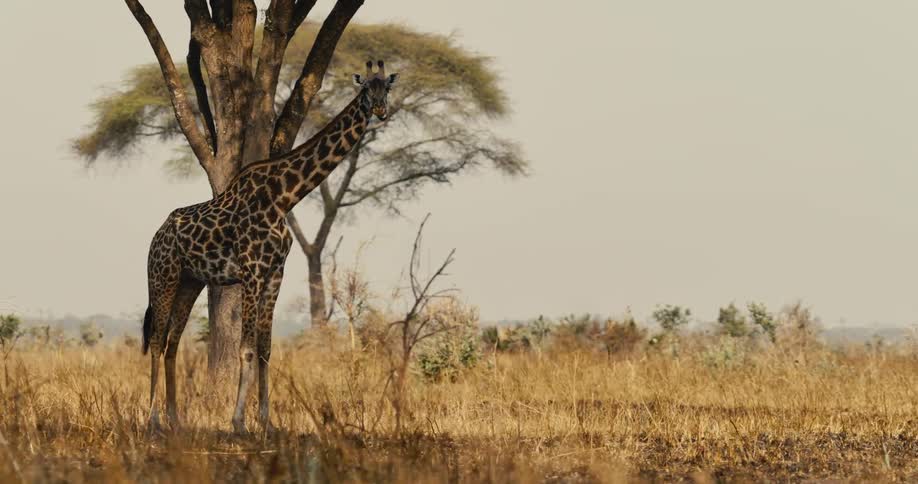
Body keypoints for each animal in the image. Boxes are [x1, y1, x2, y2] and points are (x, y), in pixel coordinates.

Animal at [142, 60, 398, 433]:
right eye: (366, 88)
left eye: (387, 88)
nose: (380, 110)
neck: (283, 197)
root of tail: (157, 236)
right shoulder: (252, 270)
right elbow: (246, 348)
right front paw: (238, 422)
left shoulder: (276, 272)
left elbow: (265, 348)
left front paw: (267, 421)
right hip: (163, 277)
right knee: (157, 339)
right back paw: (152, 419)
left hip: (191, 282)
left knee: (173, 341)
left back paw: (175, 419)